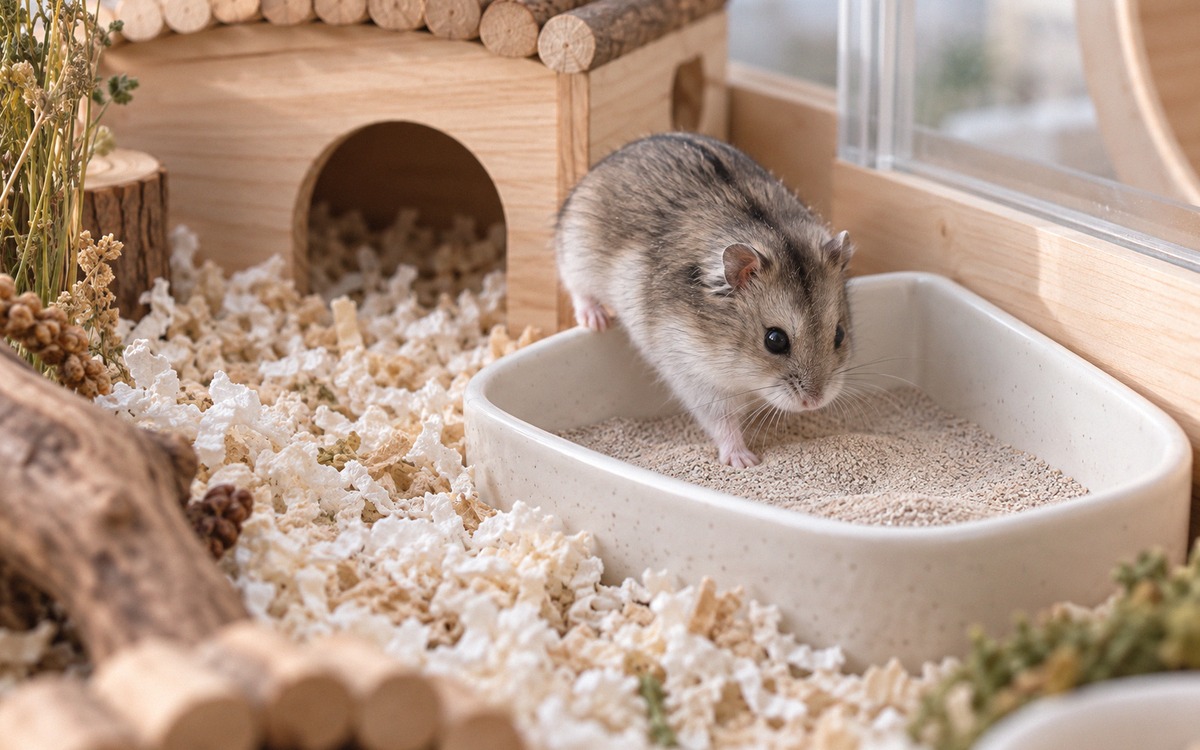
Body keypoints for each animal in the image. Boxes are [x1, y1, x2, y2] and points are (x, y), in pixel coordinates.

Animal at [554, 132, 854, 468]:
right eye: (775, 340)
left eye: (839, 334)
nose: (813, 402)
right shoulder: (695, 375)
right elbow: (721, 421)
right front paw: (744, 461)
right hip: (576, 254)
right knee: (577, 288)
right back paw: (596, 320)